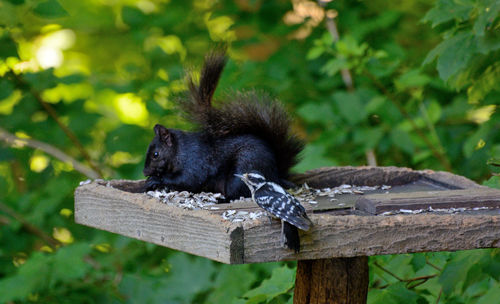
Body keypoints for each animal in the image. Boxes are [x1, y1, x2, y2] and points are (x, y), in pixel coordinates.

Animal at [142, 51, 304, 252]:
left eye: (155, 154)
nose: (145, 172)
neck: (180, 151)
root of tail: (276, 174)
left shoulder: (195, 163)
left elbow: (187, 180)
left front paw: (156, 180)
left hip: (240, 174)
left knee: (235, 195)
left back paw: (220, 200)